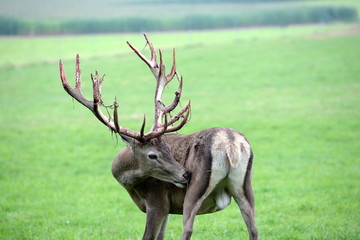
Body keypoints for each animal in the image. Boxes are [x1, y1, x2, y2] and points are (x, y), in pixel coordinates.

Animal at [60, 34, 260, 240]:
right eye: (154, 154)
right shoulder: (169, 209)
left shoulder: (157, 202)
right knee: (253, 228)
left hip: (196, 188)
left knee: (188, 228)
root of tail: (231, 143)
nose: (186, 174)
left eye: (167, 150)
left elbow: (148, 237)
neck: (129, 183)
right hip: (245, 186)